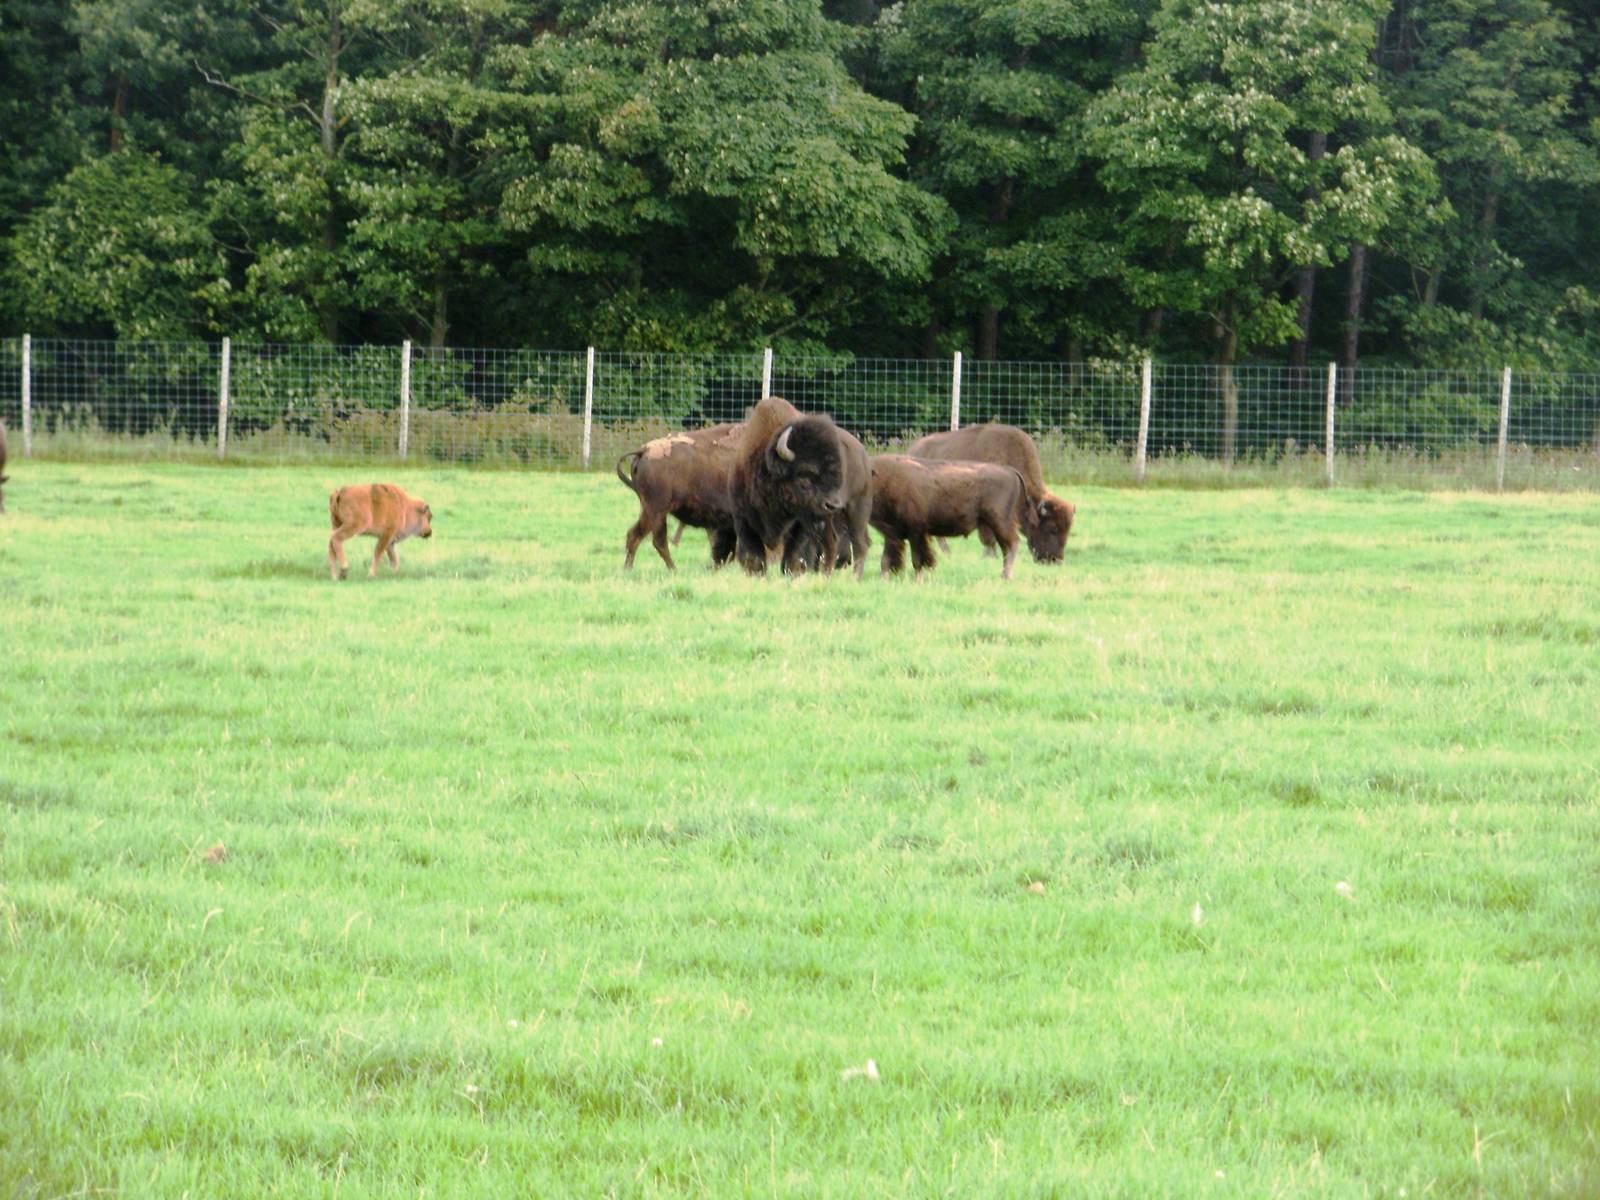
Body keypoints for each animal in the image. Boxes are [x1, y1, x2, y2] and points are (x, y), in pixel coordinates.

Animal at [868, 455, 1028, 580]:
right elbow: (886, 559)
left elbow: (918, 559)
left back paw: (1006, 576)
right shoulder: (892, 533)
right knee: (1006, 547)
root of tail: (1009, 471)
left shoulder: (916, 532)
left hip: (1000, 522)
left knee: (1013, 543)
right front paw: (884, 580)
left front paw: (918, 580)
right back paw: (1004, 575)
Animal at [907, 423, 1074, 562]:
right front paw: (990, 556)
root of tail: (913, 449)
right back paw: (946, 552)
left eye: (1068, 530)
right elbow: (988, 537)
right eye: (1052, 528)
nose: (1056, 560)